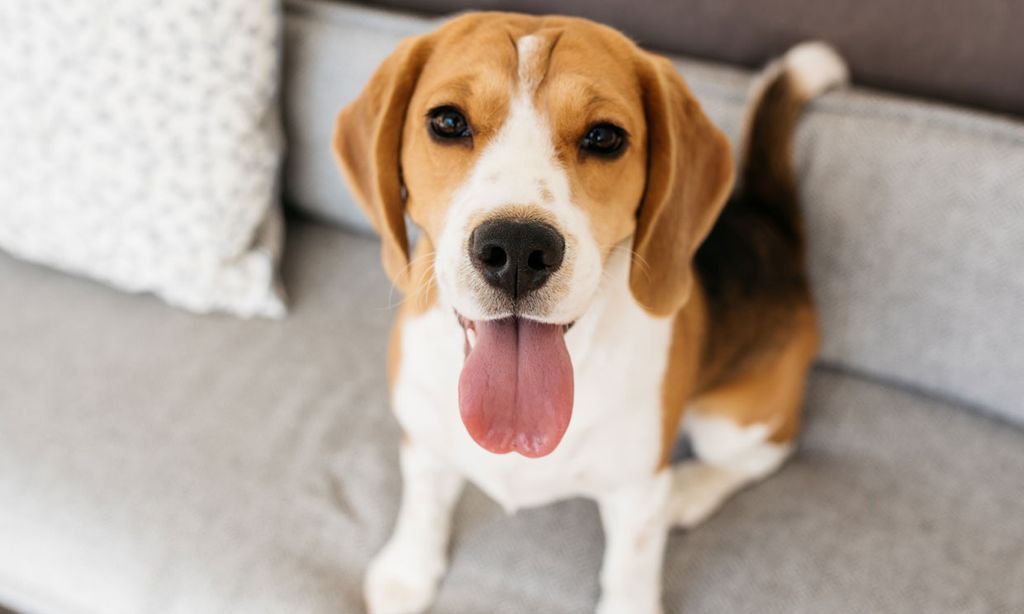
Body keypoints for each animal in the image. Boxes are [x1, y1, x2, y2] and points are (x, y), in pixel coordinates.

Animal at [335, 13, 847, 614]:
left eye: (604, 137)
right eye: (447, 121)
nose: (517, 249)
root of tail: (770, 227)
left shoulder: (637, 492)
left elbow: (629, 570)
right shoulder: (423, 438)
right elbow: (423, 506)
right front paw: (409, 572)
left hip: (726, 422)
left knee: (771, 449)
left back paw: (690, 490)